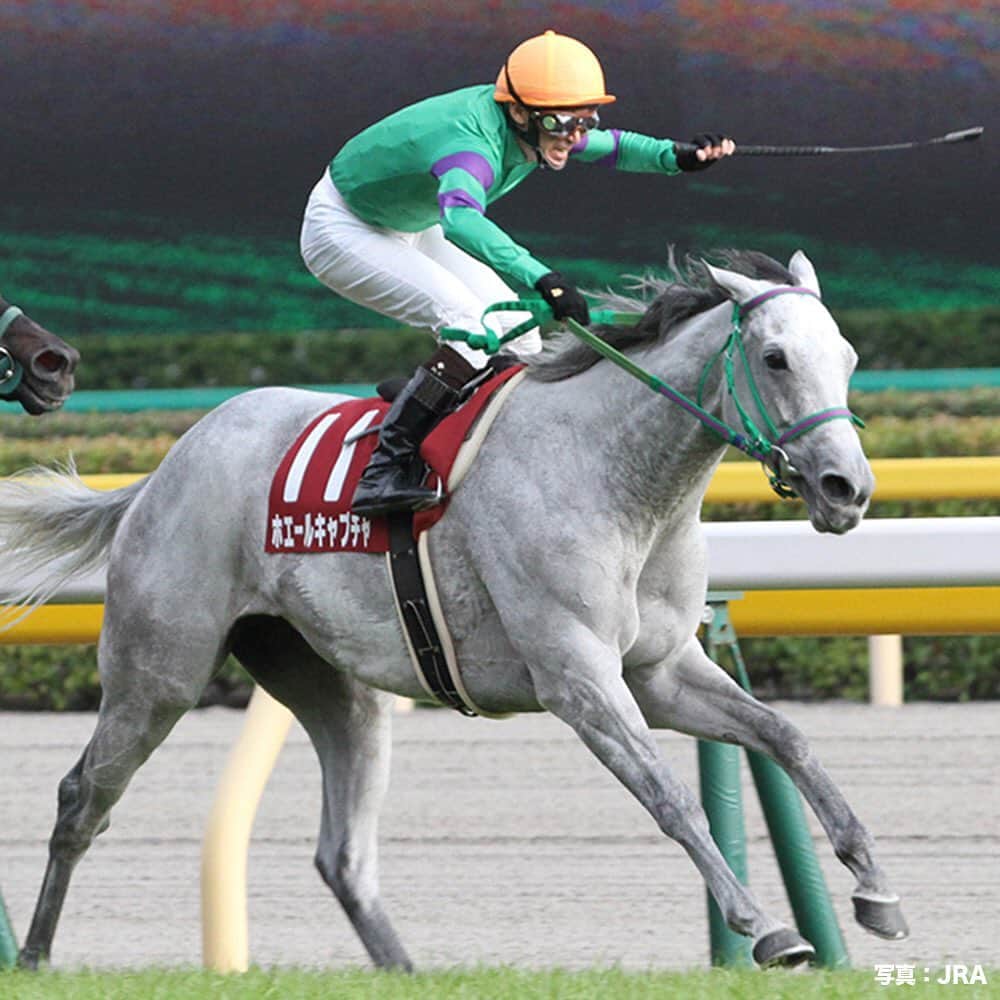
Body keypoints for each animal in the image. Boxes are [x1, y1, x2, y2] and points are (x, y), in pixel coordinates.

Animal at [1, 250, 908, 971]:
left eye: (848, 355)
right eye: (776, 357)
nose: (846, 489)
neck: (617, 479)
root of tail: (162, 471)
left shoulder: (659, 670)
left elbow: (785, 735)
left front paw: (877, 888)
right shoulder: (577, 676)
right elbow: (671, 797)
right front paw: (768, 929)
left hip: (334, 687)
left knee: (343, 854)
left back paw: (405, 971)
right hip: (160, 669)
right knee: (82, 797)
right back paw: (38, 955)